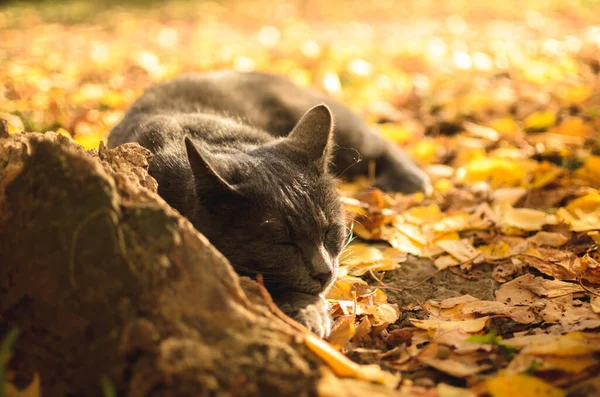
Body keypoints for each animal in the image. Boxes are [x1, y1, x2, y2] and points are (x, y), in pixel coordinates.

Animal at [106, 70, 426, 334]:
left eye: (330, 231)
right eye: (282, 243)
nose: (324, 271)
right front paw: (307, 311)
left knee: (380, 142)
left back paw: (411, 180)